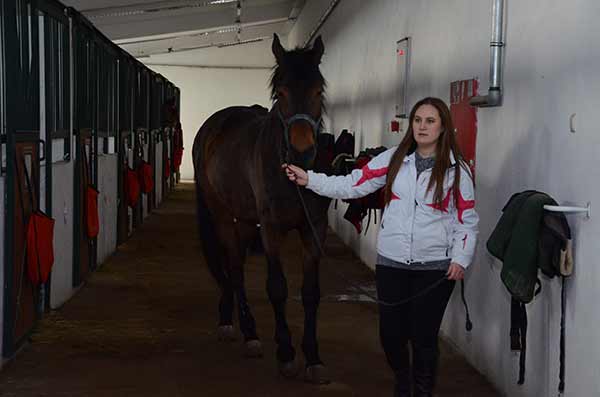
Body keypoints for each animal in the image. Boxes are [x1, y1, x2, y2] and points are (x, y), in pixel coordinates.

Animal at [192, 35, 330, 382]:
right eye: (280, 93)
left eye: (318, 91)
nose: (302, 151)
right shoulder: (270, 230)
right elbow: (277, 288)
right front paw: (286, 352)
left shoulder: (314, 229)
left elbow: (311, 292)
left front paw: (313, 357)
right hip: (222, 215)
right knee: (234, 268)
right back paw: (246, 331)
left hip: (243, 220)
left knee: (235, 264)